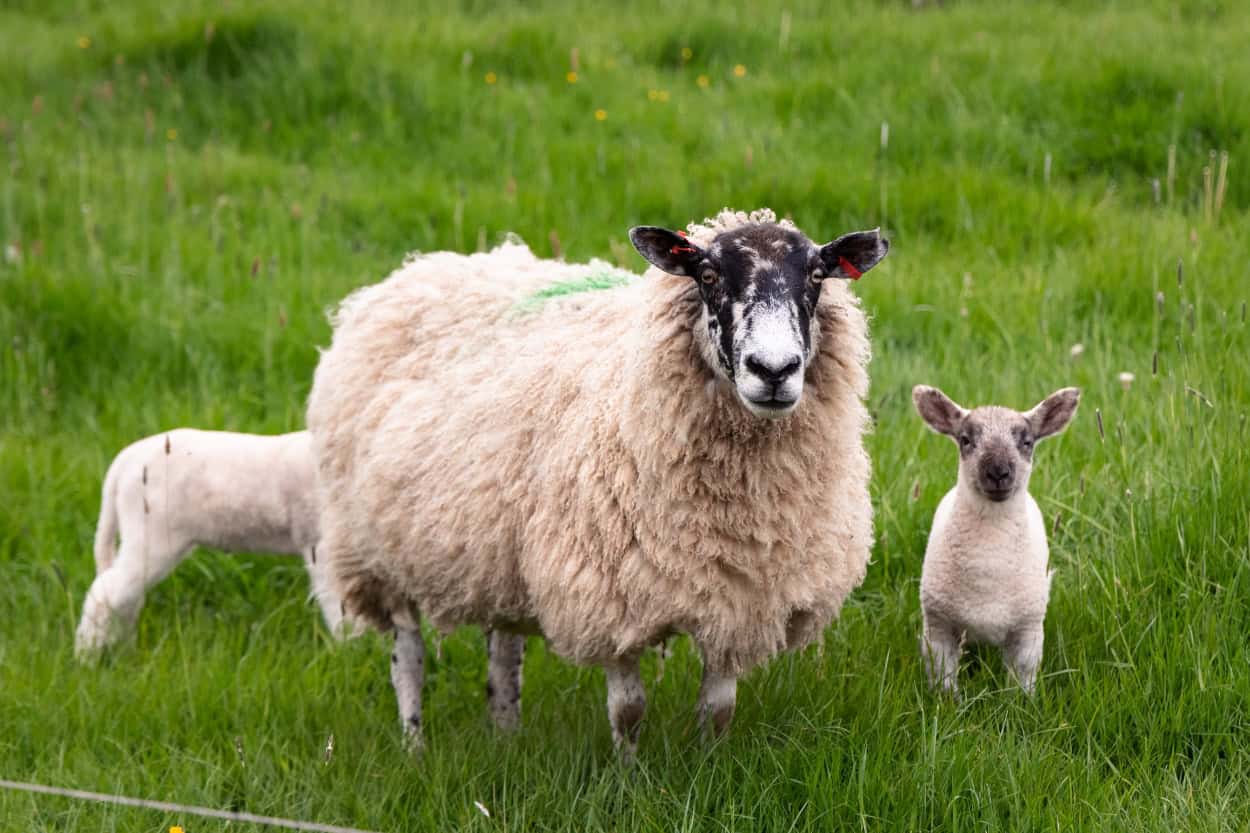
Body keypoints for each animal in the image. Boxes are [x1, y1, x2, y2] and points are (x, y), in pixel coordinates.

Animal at [74, 429, 350, 658]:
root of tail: (125, 461)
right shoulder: (321, 544)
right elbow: (338, 601)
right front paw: (350, 648)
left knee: (124, 594)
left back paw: (121, 649)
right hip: (151, 535)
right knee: (106, 592)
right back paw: (86, 657)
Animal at [307, 209, 889, 755]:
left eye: (817, 274)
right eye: (706, 274)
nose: (773, 369)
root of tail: (423, 268)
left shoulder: (741, 600)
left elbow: (718, 711)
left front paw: (709, 767)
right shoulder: (606, 595)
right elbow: (628, 711)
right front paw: (630, 778)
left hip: (498, 547)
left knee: (504, 650)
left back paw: (506, 736)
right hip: (375, 547)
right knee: (408, 655)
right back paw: (414, 745)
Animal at [912, 385, 1081, 696]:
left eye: (1027, 442)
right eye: (965, 440)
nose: (998, 472)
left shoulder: (1028, 633)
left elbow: (1021, 682)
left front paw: (1019, 703)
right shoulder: (938, 629)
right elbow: (943, 680)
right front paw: (947, 704)